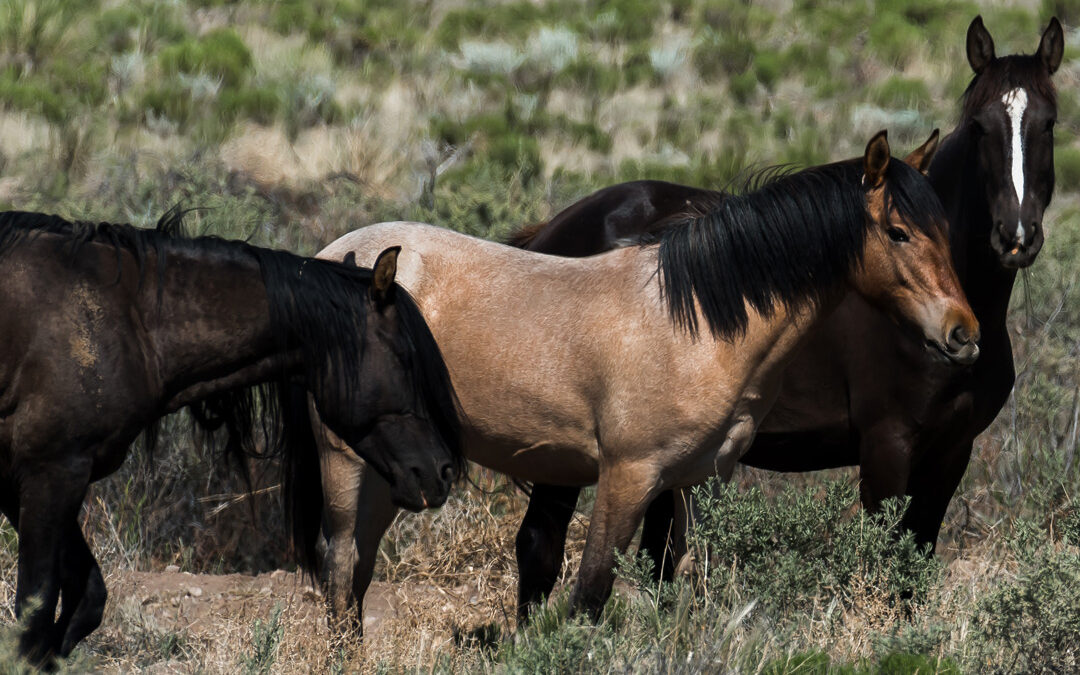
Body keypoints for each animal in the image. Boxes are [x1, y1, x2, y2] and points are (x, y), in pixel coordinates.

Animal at [0, 209, 460, 665]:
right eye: (406, 357)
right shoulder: (52, 474)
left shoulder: (30, 483)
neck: (125, 319)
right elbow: (36, 610)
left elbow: (84, 597)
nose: (441, 471)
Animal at [302, 131, 980, 626]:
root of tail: (331, 255)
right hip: (345, 455)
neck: (697, 323)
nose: (963, 333)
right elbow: (591, 593)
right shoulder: (627, 475)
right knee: (340, 562)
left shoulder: (692, 481)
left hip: (393, 467)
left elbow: (673, 583)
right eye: (898, 233)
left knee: (358, 569)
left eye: (948, 233)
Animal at [507, 14, 1062, 622]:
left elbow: (912, 574)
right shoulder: (887, 447)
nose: (1015, 235)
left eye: (1050, 123)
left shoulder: (950, 454)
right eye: (982, 126)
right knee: (541, 545)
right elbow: (883, 569)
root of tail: (554, 228)